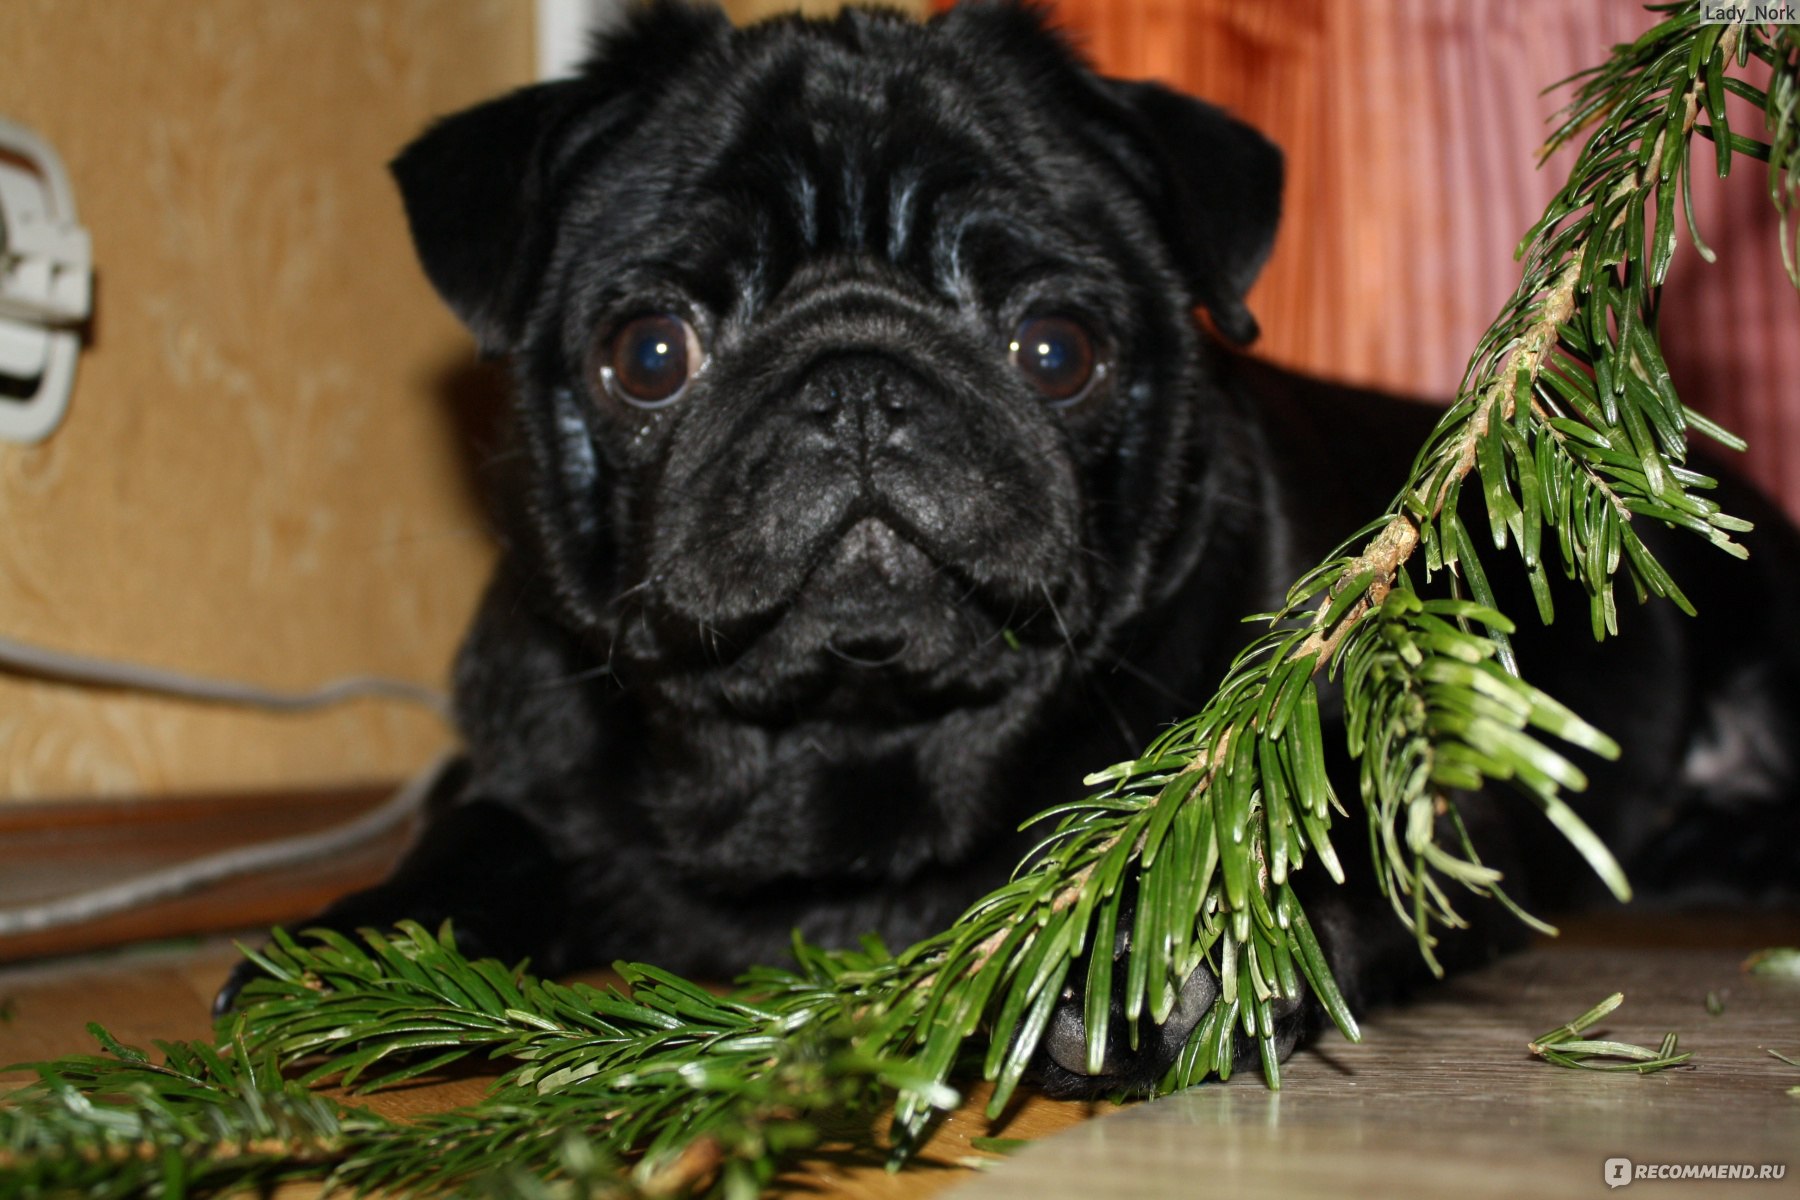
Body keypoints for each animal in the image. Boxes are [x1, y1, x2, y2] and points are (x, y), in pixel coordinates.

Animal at [221, 0, 1800, 1093]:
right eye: (651, 353)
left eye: (1057, 348)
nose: (858, 382)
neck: (851, 753)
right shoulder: (519, 784)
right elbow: (468, 850)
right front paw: (344, 953)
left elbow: (1283, 846)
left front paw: (1151, 963)